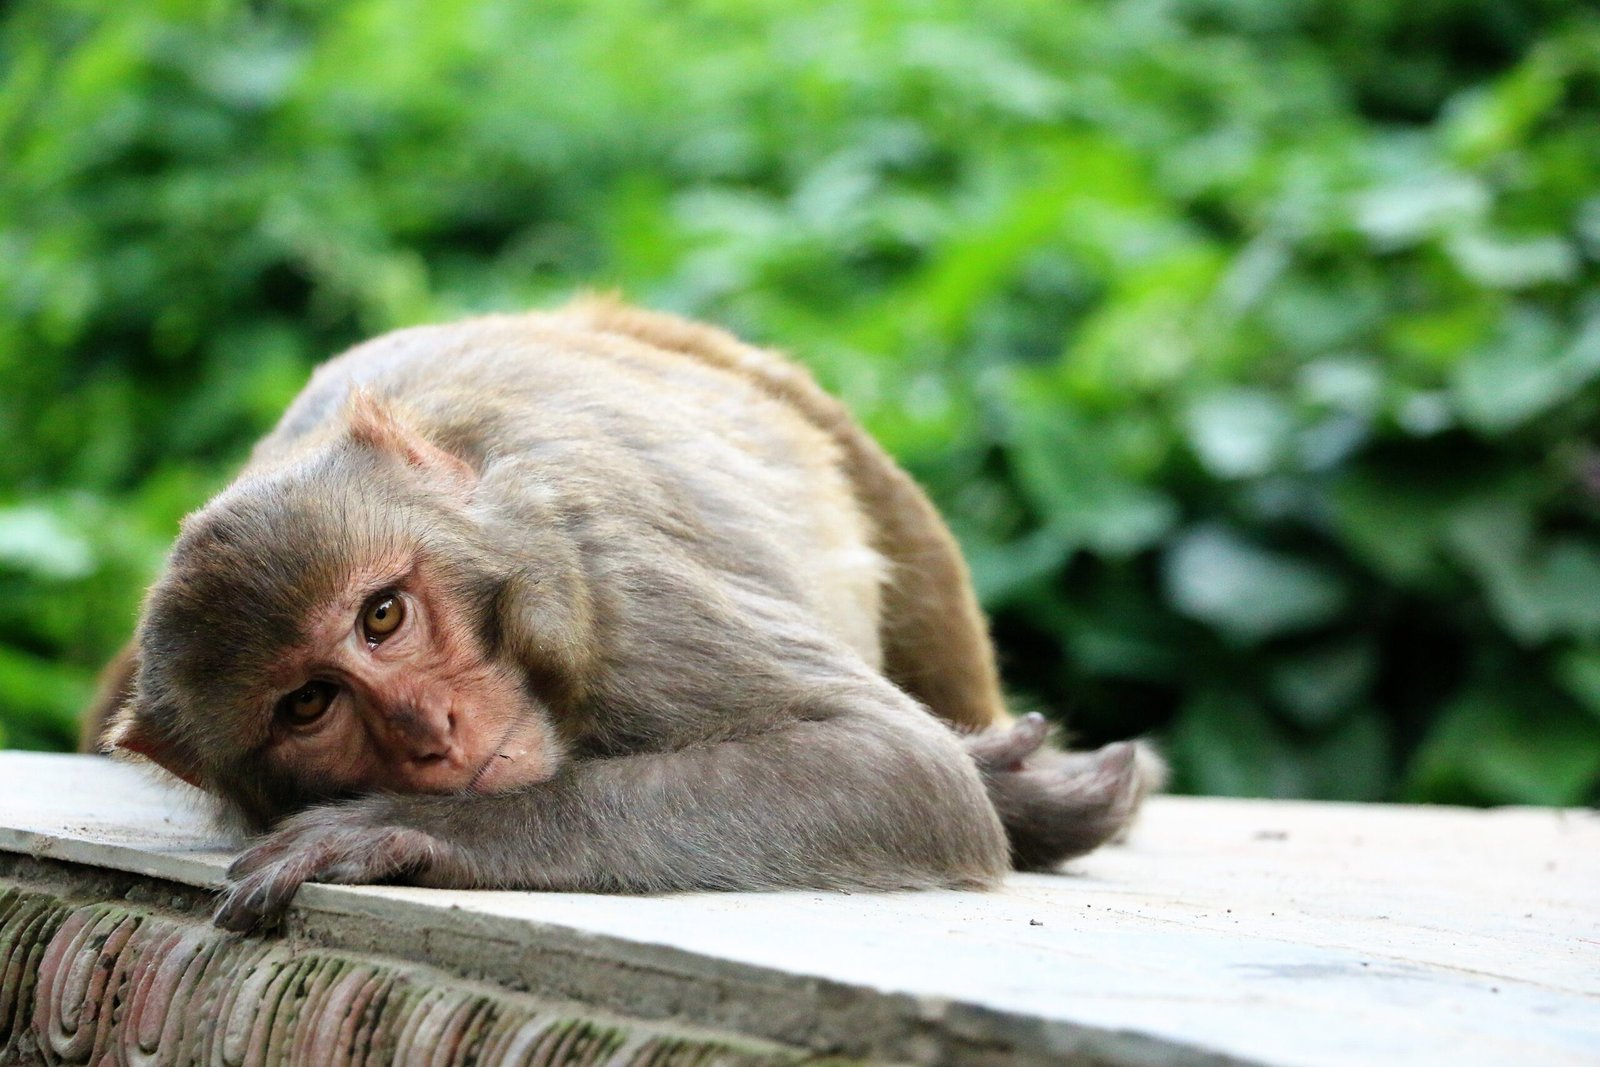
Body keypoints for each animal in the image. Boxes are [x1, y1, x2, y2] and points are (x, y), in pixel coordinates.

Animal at [87, 295, 1158, 927]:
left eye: (382, 616)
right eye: (307, 704)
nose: (431, 730)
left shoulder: (606, 576)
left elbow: (895, 767)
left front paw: (402, 831)